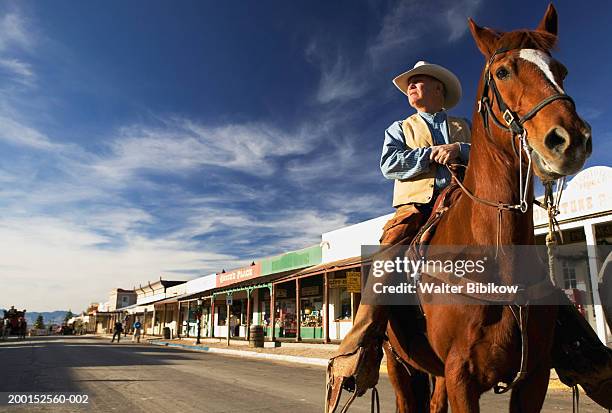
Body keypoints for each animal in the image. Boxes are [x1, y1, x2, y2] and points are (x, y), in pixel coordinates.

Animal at [384, 4, 592, 412]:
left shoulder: (534, 376)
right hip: (398, 362)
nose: (570, 139)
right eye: (502, 71)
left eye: (561, 70)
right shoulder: (461, 375)